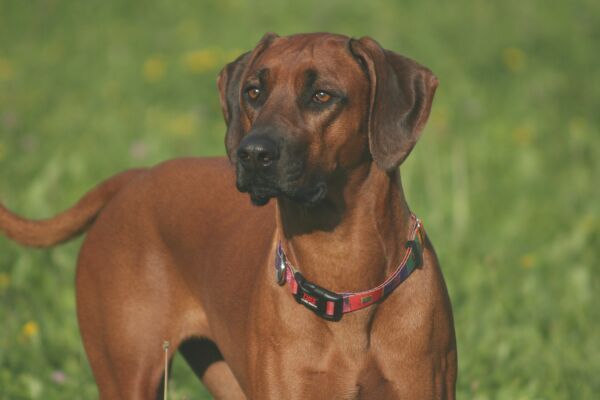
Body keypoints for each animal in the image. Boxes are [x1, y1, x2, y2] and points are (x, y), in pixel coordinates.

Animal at [0, 32, 457, 399]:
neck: (344, 278)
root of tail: (137, 176)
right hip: (128, 374)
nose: (251, 153)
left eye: (322, 95)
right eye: (254, 91)